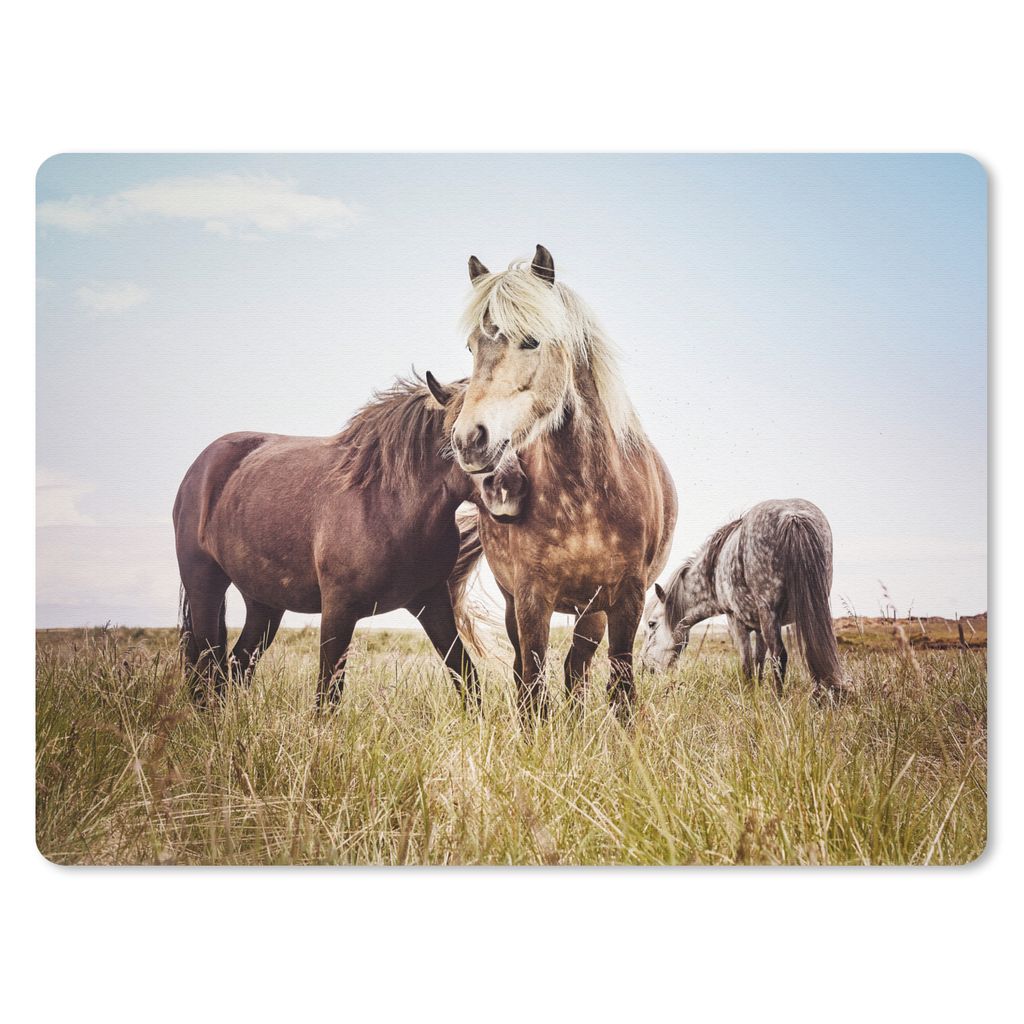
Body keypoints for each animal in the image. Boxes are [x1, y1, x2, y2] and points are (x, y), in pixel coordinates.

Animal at [172, 376, 521, 710]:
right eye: (465, 435)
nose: (512, 487)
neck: (388, 503)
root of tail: (199, 468)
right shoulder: (338, 609)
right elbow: (328, 692)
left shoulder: (432, 602)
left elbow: (465, 674)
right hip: (205, 587)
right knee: (207, 665)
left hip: (264, 604)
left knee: (236, 664)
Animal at [428, 245, 677, 718]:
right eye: (471, 346)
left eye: (531, 340)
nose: (469, 439)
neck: (585, 496)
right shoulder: (531, 598)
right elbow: (532, 685)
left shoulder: (627, 599)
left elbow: (621, 686)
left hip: (591, 612)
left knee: (577, 669)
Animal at [639, 498, 850, 701]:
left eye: (651, 624)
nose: (645, 667)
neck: (712, 571)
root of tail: (792, 516)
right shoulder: (759, 627)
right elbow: (759, 662)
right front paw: (757, 690)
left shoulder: (736, 621)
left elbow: (747, 664)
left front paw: (749, 696)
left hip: (770, 613)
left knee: (780, 655)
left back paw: (778, 700)